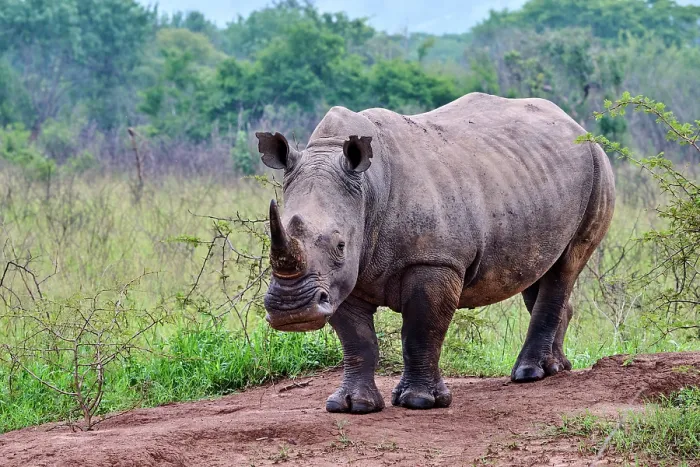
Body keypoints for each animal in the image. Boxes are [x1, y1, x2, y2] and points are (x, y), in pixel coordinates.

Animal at [256, 93, 615, 413]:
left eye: (340, 245)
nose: (292, 312)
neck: (368, 190)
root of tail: (574, 124)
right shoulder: (339, 280)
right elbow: (357, 340)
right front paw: (352, 406)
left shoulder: (434, 261)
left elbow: (421, 329)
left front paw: (419, 402)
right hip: (534, 179)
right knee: (537, 269)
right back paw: (557, 368)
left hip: (598, 166)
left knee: (565, 266)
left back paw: (529, 374)